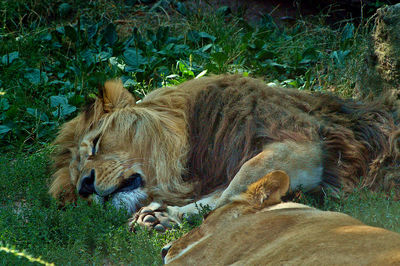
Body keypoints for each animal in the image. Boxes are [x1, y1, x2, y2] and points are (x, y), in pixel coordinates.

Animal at [49, 75, 400, 231]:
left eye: (95, 144)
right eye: (77, 186)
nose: (85, 186)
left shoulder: (303, 144)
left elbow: (236, 189)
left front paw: (170, 217)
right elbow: (224, 193)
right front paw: (162, 216)